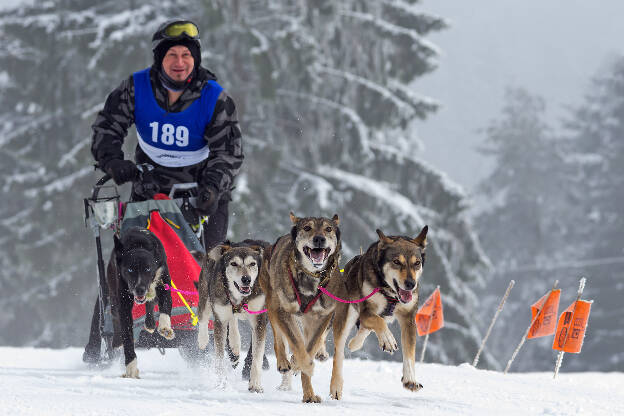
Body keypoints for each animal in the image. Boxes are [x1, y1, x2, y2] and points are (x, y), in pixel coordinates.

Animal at [83, 228, 174, 376]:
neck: (138, 245)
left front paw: (165, 327)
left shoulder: (163, 282)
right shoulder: (123, 301)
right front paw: (131, 366)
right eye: (130, 269)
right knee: (115, 318)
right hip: (113, 294)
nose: (140, 289)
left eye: (148, 268)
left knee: (151, 303)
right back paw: (117, 340)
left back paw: (150, 323)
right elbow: (126, 333)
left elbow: (165, 307)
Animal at [199, 239, 270, 392]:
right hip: (205, 296)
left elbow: (257, 358)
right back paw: (203, 340)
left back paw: (235, 345)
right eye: (233, 264)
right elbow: (219, 358)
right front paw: (221, 383)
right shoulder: (219, 319)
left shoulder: (259, 321)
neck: (240, 297)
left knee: (233, 320)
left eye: (252, 264)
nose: (246, 279)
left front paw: (255, 385)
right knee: (203, 316)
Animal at [260, 213, 344, 402]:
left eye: (328, 229)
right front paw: (304, 365)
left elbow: (309, 347)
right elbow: (296, 343)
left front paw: (309, 395)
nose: (319, 238)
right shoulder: (282, 311)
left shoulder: (322, 317)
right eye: (307, 228)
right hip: (272, 304)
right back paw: (284, 362)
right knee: (279, 338)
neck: (310, 277)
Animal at [332, 228, 428, 400]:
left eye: (417, 263)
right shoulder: (365, 311)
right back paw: (336, 386)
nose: (411, 284)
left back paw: (355, 343)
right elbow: (379, 322)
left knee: (363, 332)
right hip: (347, 316)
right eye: (396, 261)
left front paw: (410, 379)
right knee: (339, 352)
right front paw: (388, 340)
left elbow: (409, 352)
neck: (389, 291)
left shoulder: (408, 319)